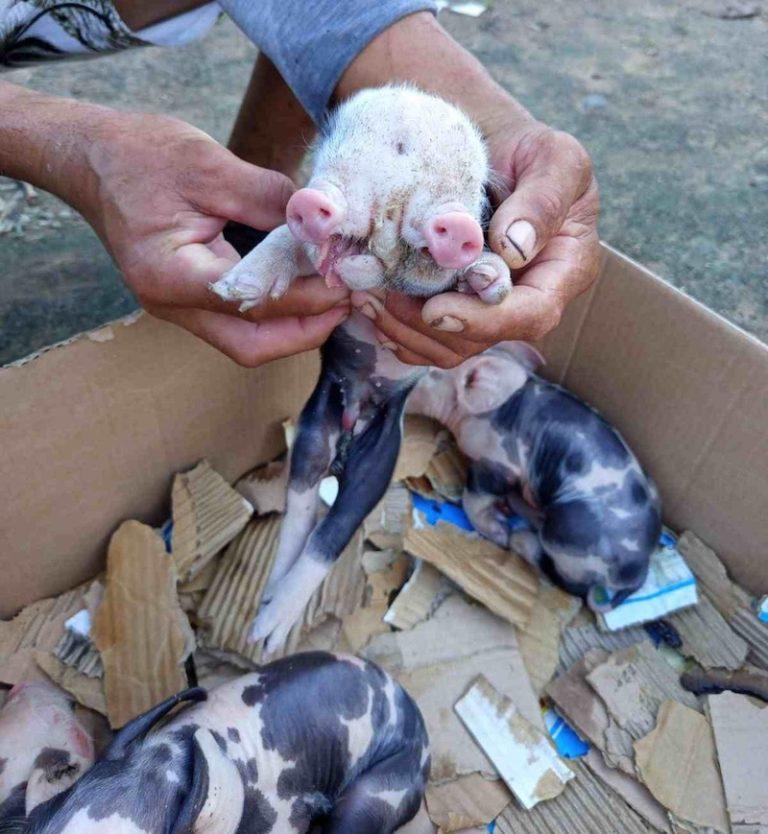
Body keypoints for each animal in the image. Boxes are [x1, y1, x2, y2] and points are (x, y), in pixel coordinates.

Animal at [210, 85, 511, 653]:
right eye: (334, 141)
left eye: (478, 190)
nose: (457, 222)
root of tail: (352, 418)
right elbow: (288, 238)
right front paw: (235, 289)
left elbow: (466, 282)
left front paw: (488, 276)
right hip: (312, 431)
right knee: (302, 517)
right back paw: (264, 624)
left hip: (381, 460)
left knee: (333, 532)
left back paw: (269, 632)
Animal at [407, 343, 662, 610]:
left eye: (431, 371)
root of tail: (639, 568)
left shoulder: (500, 463)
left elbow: (474, 497)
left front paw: (499, 533)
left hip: (567, 531)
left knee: (573, 586)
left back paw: (518, 538)